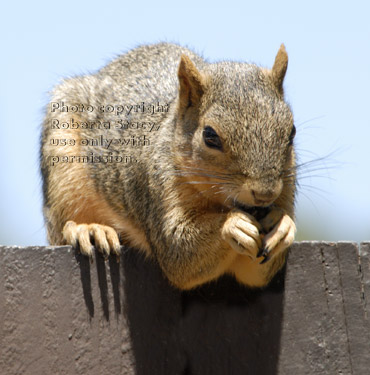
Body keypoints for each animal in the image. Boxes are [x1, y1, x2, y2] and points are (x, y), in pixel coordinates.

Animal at [39, 43, 294, 290]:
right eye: (210, 135)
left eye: (292, 132)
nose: (265, 193)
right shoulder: (159, 188)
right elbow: (178, 252)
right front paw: (232, 225)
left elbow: (255, 275)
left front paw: (283, 227)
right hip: (64, 169)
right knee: (63, 227)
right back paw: (90, 230)